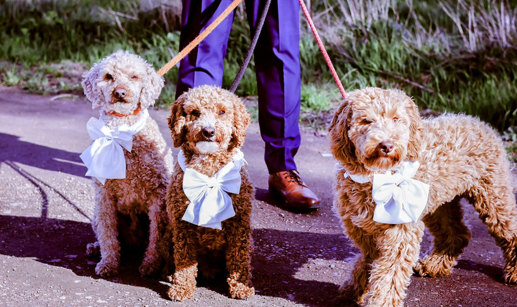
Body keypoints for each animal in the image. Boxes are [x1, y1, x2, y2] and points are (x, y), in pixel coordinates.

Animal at [81, 50, 172, 276]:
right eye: (108, 77)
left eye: (134, 77)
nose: (120, 93)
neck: (121, 132)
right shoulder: (104, 194)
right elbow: (108, 233)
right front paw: (108, 263)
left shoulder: (158, 194)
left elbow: (156, 236)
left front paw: (150, 265)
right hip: (96, 214)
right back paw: (95, 248)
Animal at [165, 85, 254, 302]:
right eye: (195, 112)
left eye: (222, 111)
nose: (208, 131)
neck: (208, 170)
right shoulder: (182, 224)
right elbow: (184, 259)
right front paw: (182, 287)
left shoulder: (239, 224)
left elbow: (240, 258)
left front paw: (241, 286)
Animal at [328, 87, 512, 307]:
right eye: (366, 120)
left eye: (396, 118)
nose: (387, 145)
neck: (377, 177)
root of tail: (480, 123)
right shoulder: (364, 233)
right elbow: (367, 262)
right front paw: (351, 291)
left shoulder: (400, 235)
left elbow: (389, 277)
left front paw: (380, 302)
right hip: (439, 204)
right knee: (456, 233)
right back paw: (435, 264)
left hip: (494, 195)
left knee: (508, 231)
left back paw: (513, 272)